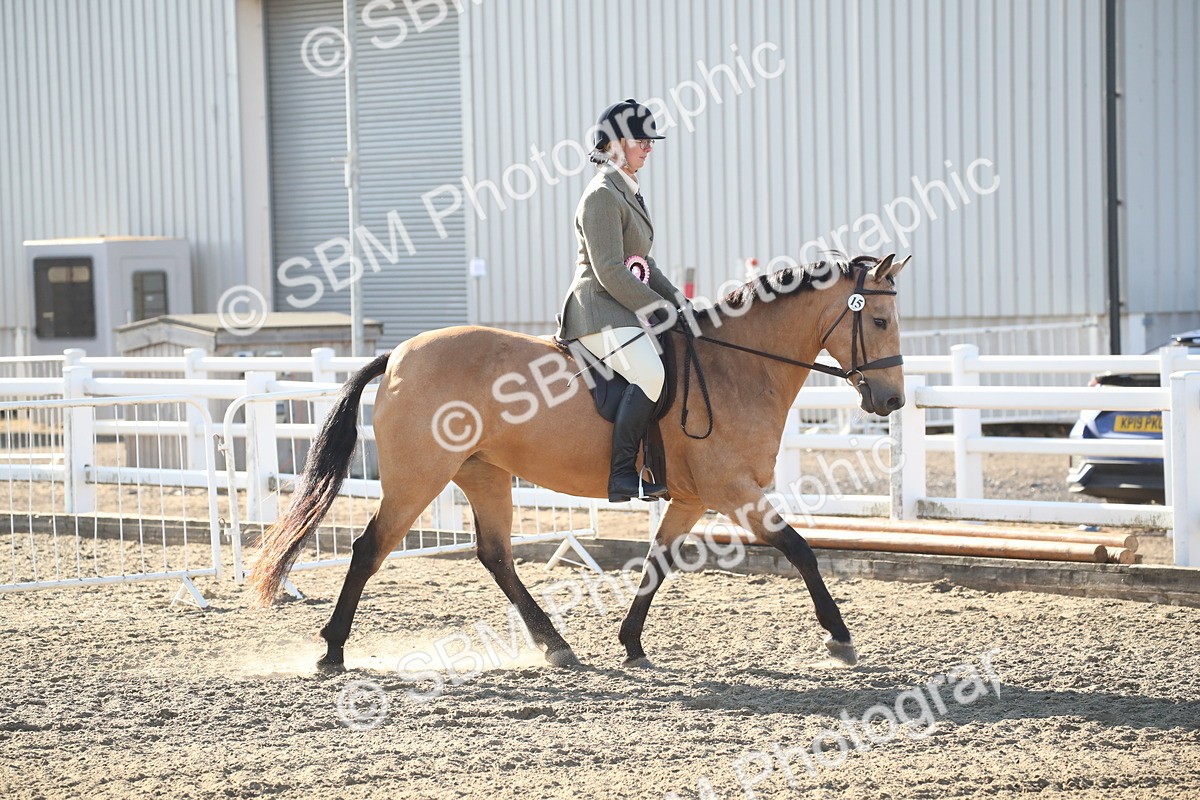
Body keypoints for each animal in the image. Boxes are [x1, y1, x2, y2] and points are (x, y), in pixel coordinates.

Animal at [249, 253, 910, 671]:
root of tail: (399, 355)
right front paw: (840, 638)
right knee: (370, 550)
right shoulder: (734, 490)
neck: (737, 366)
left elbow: (657, 564)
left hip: (483, 473)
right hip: (418, 479)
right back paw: (332, 652)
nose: (891, 401)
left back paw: (556, 645)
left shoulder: (692, 498)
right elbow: (800, 549)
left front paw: (631, 643)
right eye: (878, 320)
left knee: (496, 555)